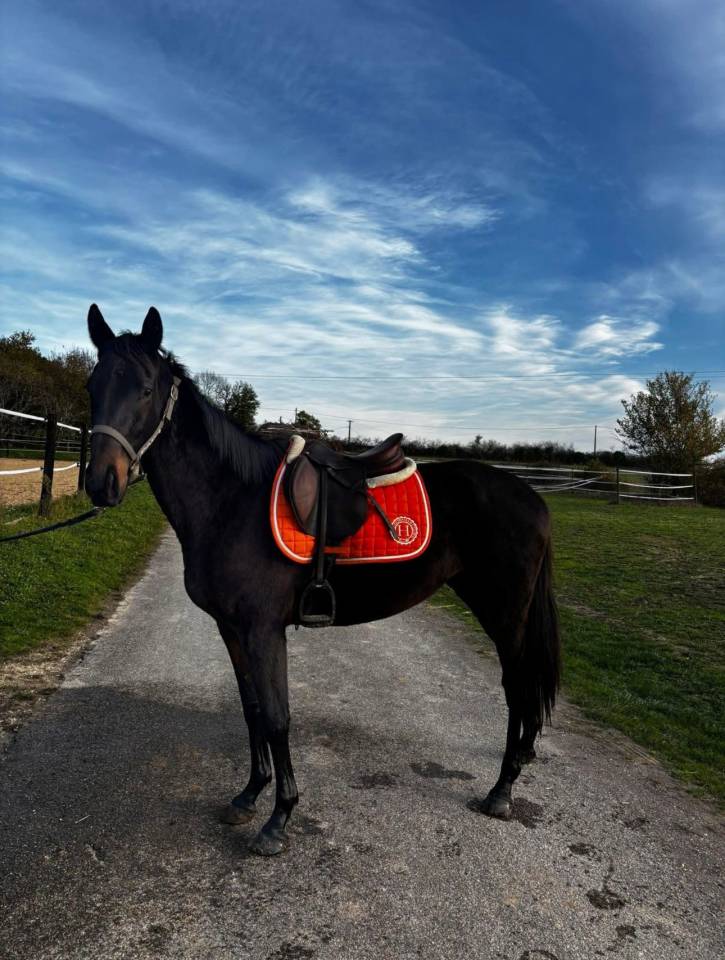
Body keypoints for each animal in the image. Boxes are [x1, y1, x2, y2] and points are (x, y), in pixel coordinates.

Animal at [84, 304, 560, 856]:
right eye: (93, 384)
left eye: (145, 388)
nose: (101, 483)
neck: (231, 500)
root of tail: (532, 496)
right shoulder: (231, 628)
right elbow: (251, 709)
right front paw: (250, 794)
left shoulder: (264, 630)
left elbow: (277, 716)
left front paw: (279, 818)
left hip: (505, 615)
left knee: (518, 688)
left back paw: (502, 790)